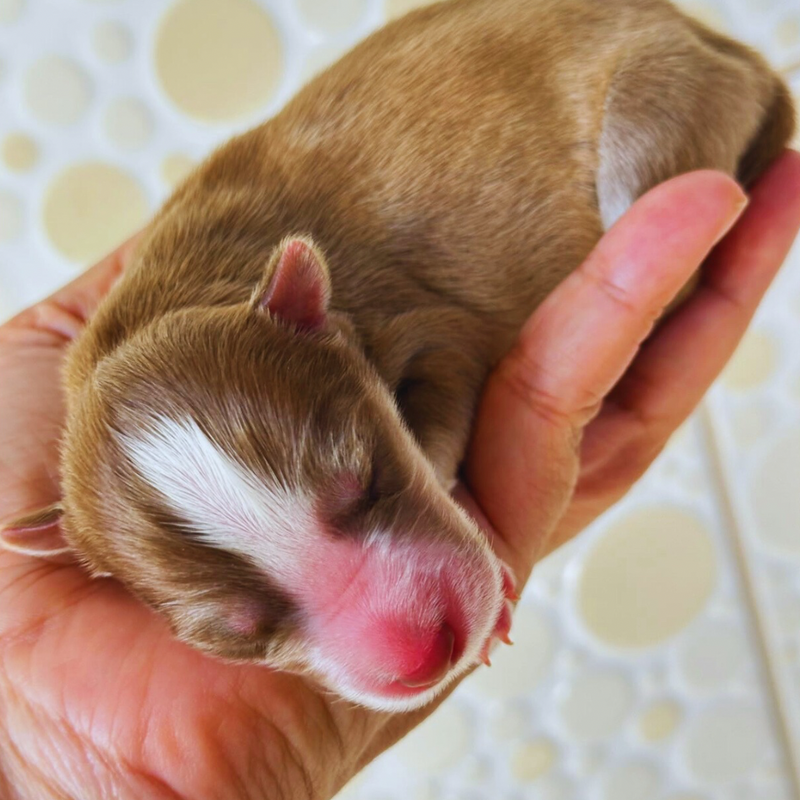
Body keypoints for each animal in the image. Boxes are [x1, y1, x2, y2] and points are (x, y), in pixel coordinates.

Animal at [1, 0, 792, 712]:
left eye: (370, 479)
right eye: (237, 633)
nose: (427, 653)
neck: (173, 300)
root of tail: (712, 39)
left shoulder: (425, 326)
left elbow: (444, 403)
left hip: (658, 108)